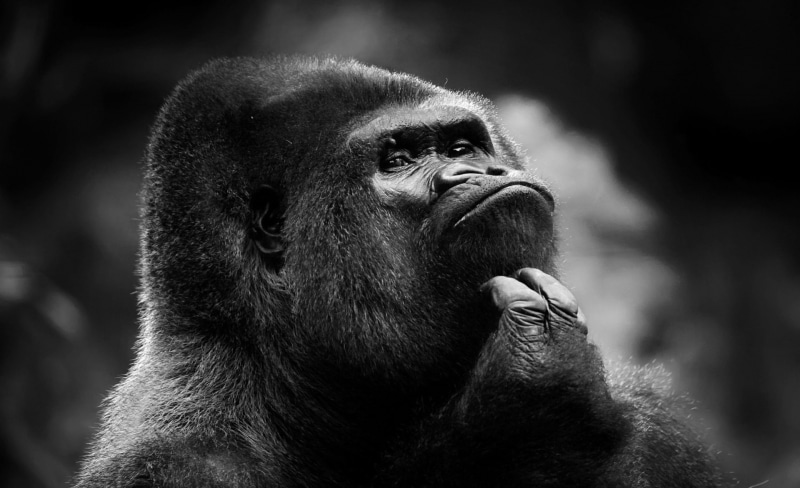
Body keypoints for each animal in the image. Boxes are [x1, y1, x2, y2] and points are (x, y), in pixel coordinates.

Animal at [74, 55, 724, 487]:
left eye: (461, 147)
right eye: (398, 160)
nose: (475, 173)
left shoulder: (651, 419)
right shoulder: (174, 462)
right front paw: (530, 413)